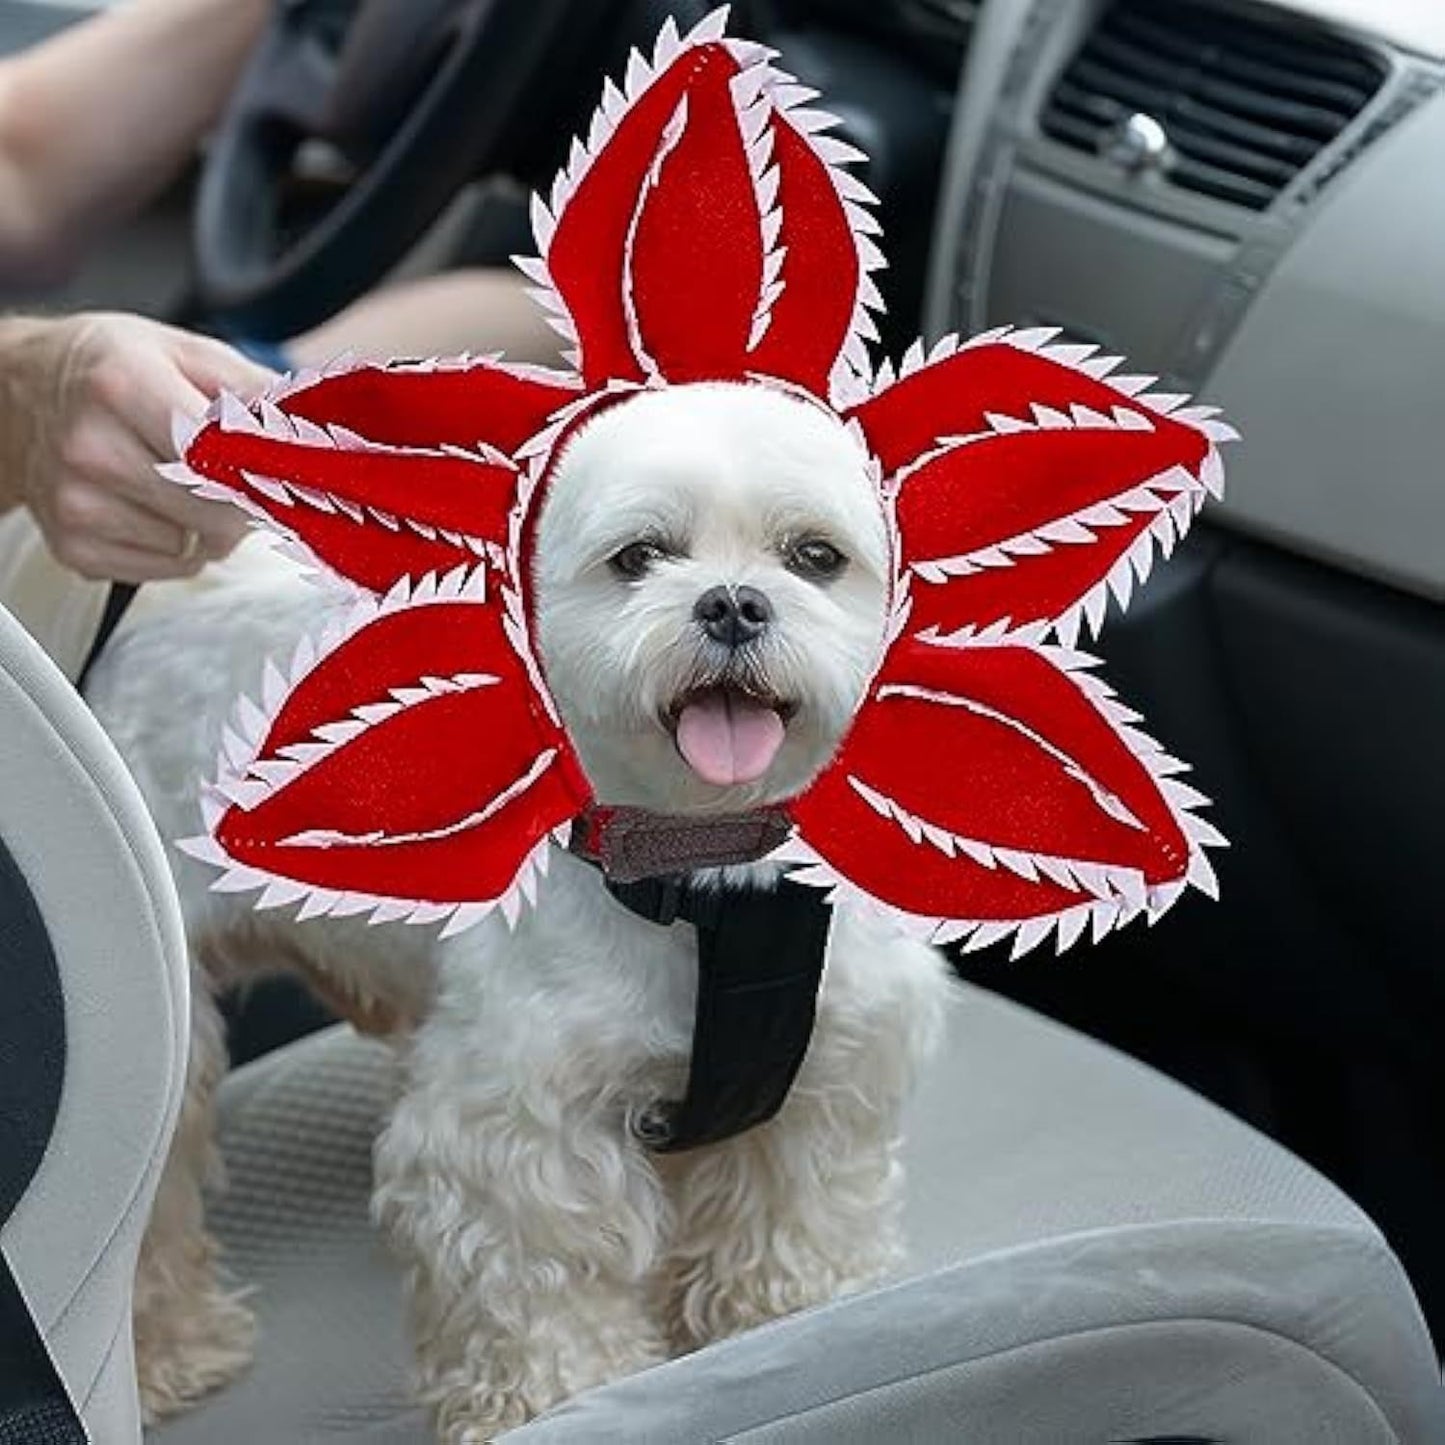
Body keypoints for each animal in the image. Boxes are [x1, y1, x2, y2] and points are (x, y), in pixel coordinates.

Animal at [87, 378, 947, 1439]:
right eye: (638, 557)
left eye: (815, 556)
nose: (734, 603)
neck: (702, 878)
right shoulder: (516, 1125)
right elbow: (541, 1271)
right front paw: (563, 1394)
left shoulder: (831, 1064)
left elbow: (797, 1204)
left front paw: (797, 1308)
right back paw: (169, 1350)